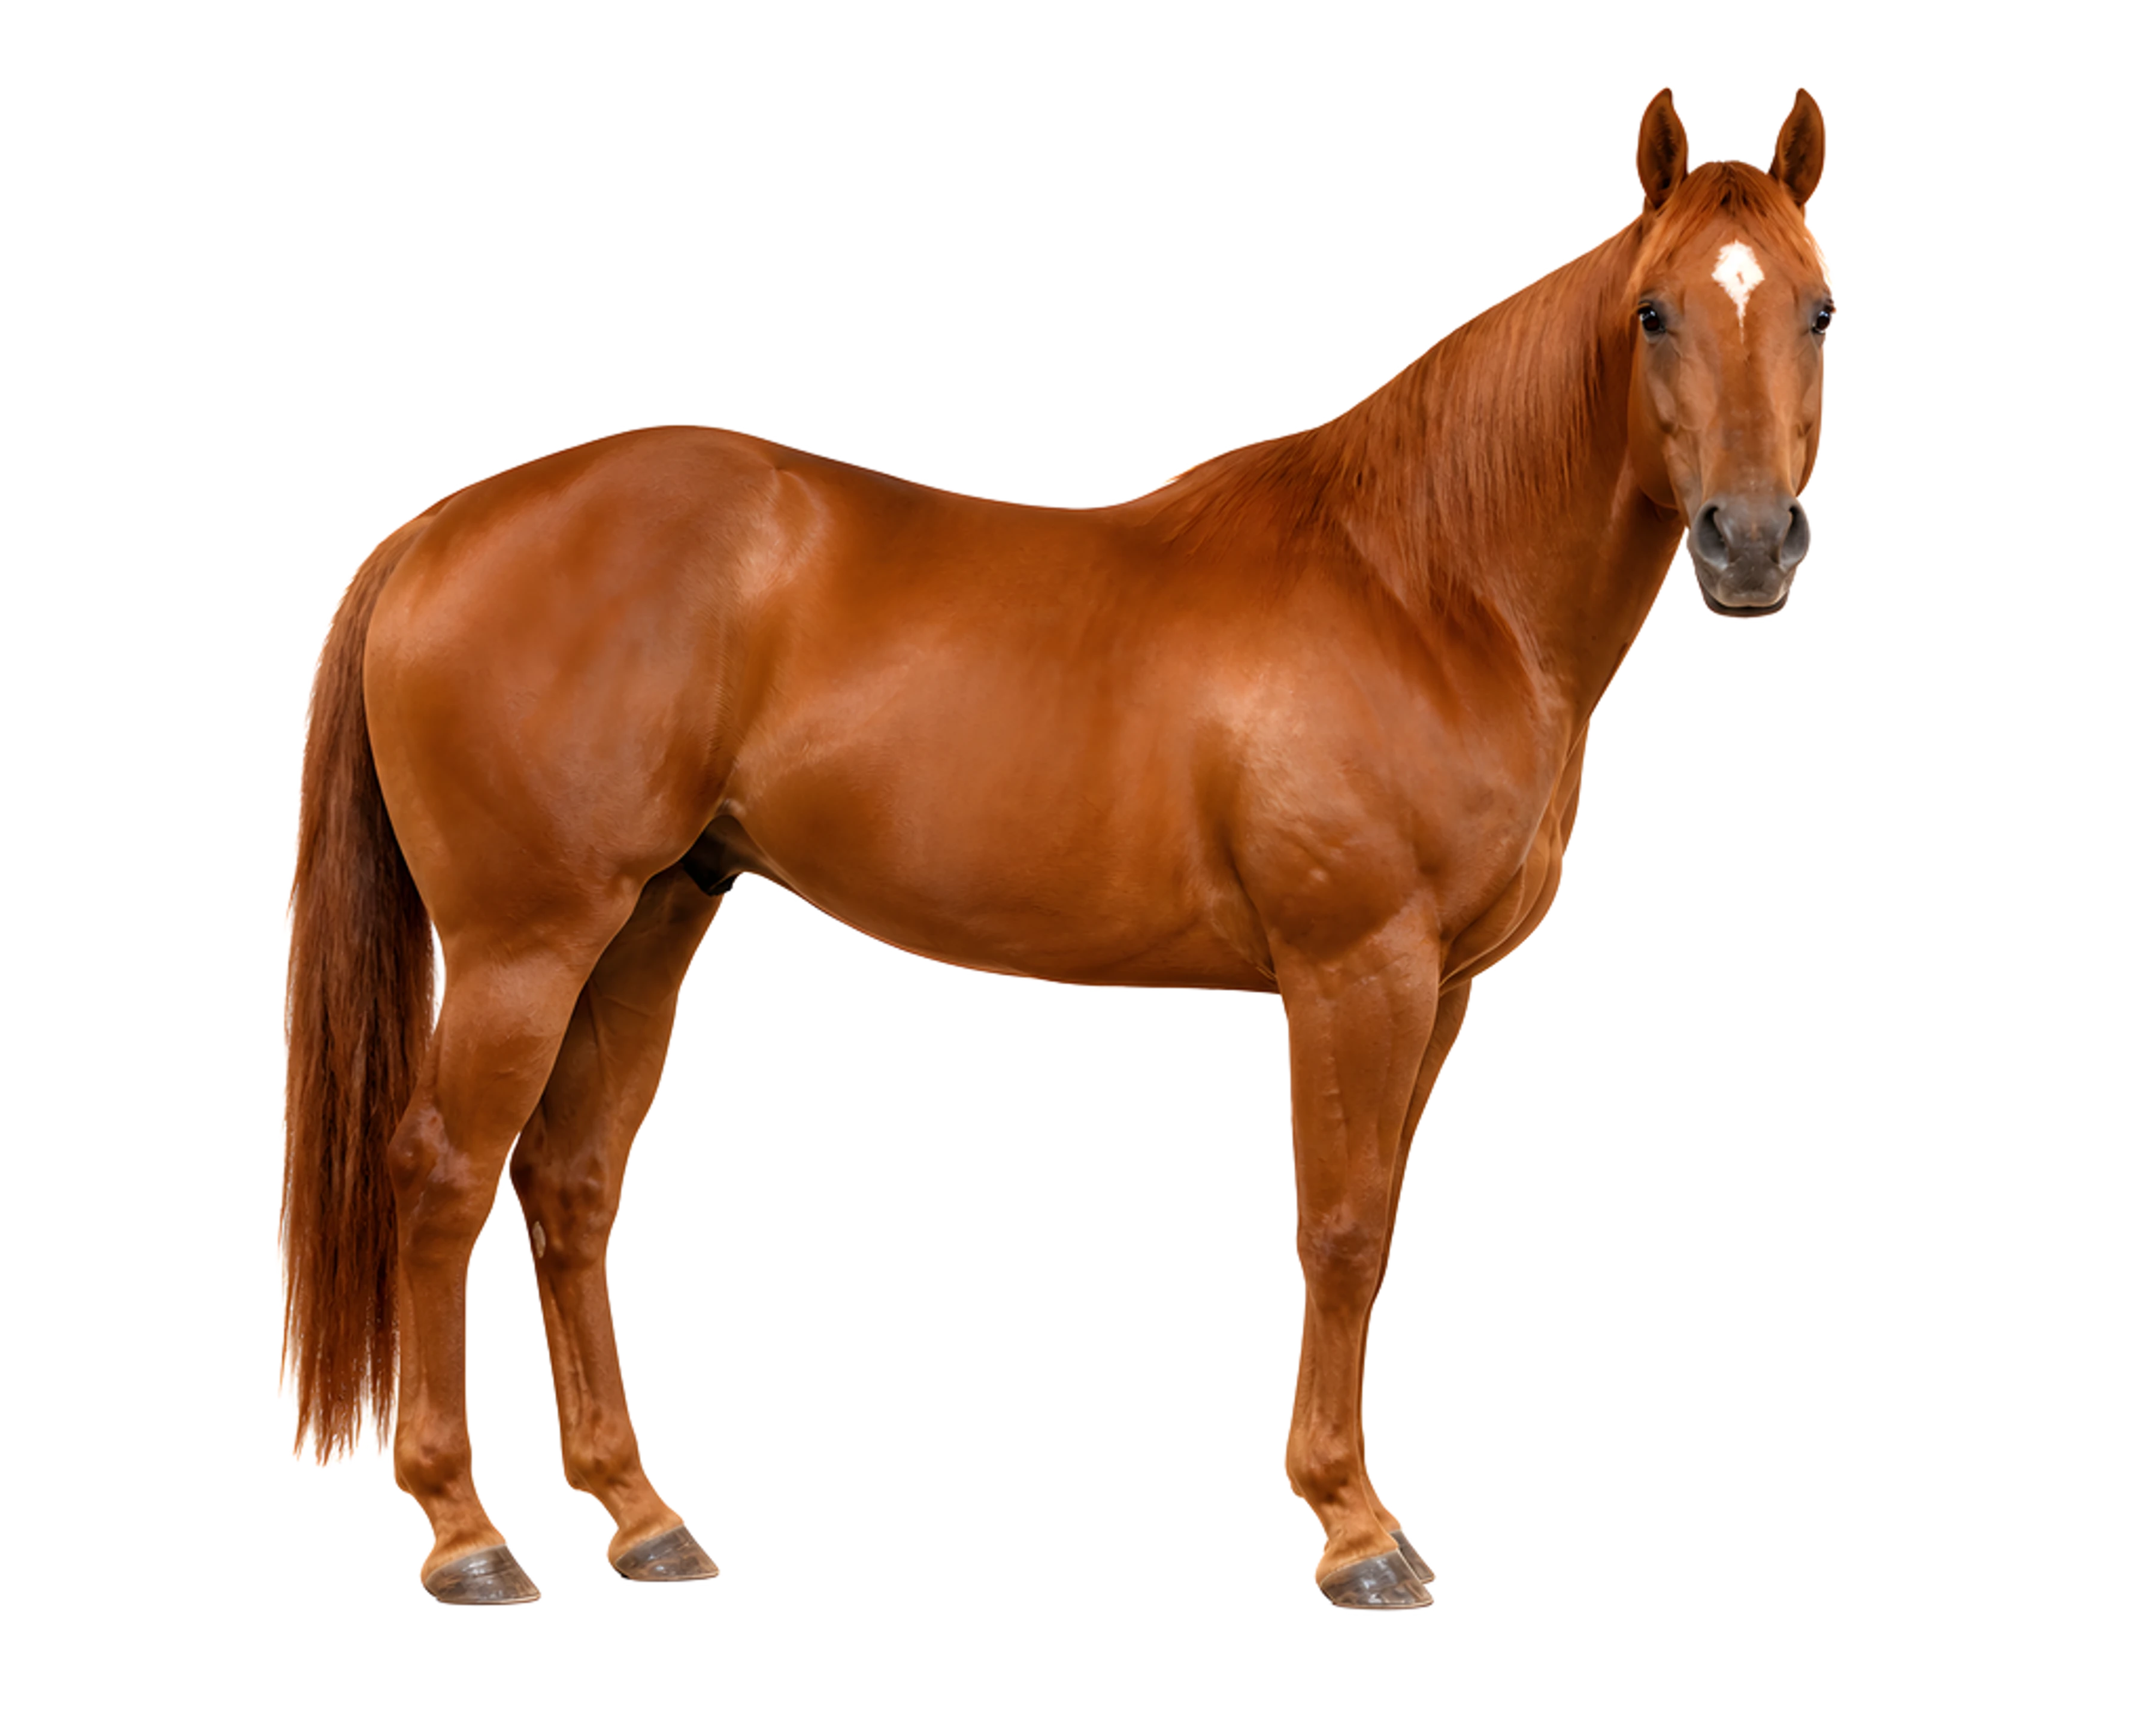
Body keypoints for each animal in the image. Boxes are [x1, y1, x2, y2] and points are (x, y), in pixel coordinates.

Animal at [280, 83, 1833, 1611]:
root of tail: (438, 531)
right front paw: (1354, 1527)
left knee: (568, 1179)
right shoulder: (1357, 970)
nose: (1751, 544)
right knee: (440, 1174)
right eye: (1654, 312)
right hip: (524, 944)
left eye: (1817, 308)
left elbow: (1376, 1221)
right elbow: (1337, 1228)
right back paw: (467, 1533)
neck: (1424, 588)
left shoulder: (1436, 988)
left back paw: (642, 1515)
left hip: (652, 918)